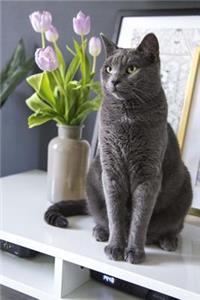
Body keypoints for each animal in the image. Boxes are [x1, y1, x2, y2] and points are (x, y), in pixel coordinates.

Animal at [45, 32, 192, 262]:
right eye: (108, 68)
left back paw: (168, 241)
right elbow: (115, 214)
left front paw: (134, 252)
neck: (127, 117)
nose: (114, 80)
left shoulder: (148, 175)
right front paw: (116, 246)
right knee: (99, 215)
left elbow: (140, 218)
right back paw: (100, 231)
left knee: (174, 226)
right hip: (93, 176)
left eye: (131, 69)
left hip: (184, 187)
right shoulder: (111, 170)